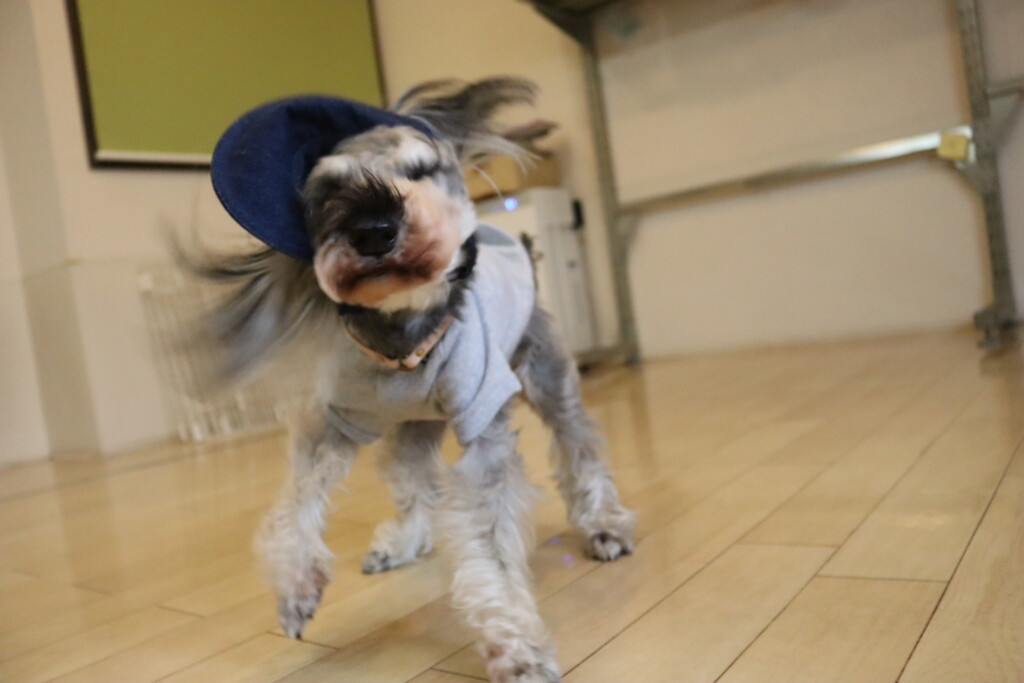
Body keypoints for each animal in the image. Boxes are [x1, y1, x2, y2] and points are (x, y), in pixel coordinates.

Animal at [185, 77, 635, 683]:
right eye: (329, 188)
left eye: (419, 171)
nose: (373, 230)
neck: (402, 336)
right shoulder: (330, 423)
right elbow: (294, 507)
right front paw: (296, 589)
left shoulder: (484, 433)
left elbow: (489, 545)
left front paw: (515, 646)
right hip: (411, 433)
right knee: (414, 482)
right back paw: (401, 542)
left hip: (548, 378)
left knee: (579, 445)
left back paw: (604, 524)